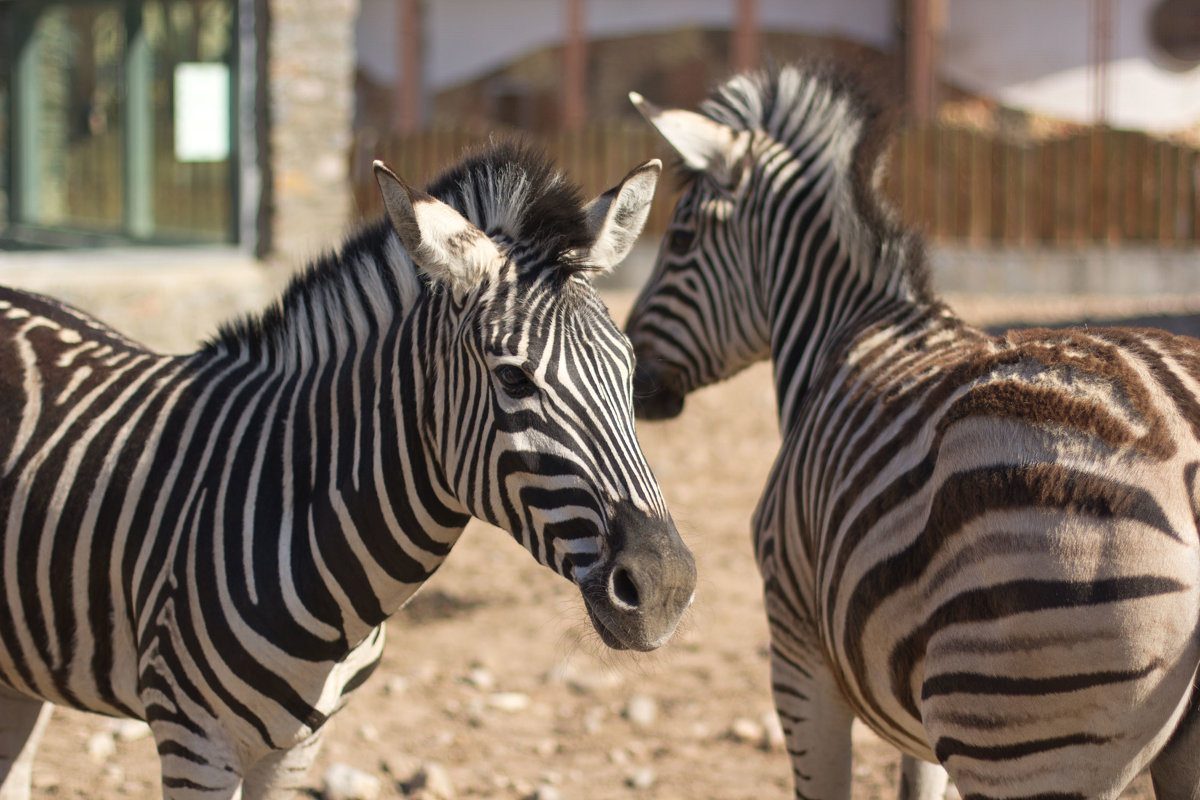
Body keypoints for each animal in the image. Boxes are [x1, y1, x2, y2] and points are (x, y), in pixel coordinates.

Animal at [624, 61, 1200, 800]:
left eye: (681, 239)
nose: (636, 377)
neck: (848, 330)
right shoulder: (912, 700)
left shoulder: (796, 643)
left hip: (1017, 726)